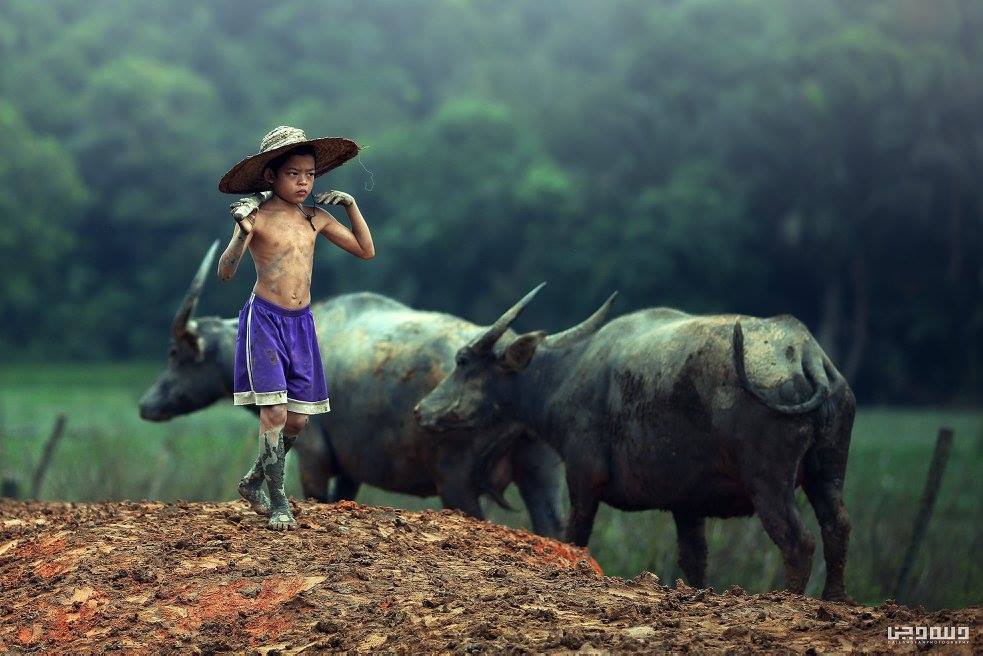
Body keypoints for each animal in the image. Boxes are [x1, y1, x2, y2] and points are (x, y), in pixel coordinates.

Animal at [141, 243, 564, 536]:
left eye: (175, 353)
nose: (147, 405)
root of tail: (508, 353)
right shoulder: (350, 470)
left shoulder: (314, 458)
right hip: (541, 473)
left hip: (456, 481)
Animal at [414, 282, 852, 600]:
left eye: (463, 361)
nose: (420, 410)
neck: (566, 373)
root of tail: (807, 355)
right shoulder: (686, 503)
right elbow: (694, 560)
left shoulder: (583, 479)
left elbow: (574, 539)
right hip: (827, 474)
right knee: (837, 526)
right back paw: (834, 598)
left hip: (769, 481)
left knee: (799, 542)